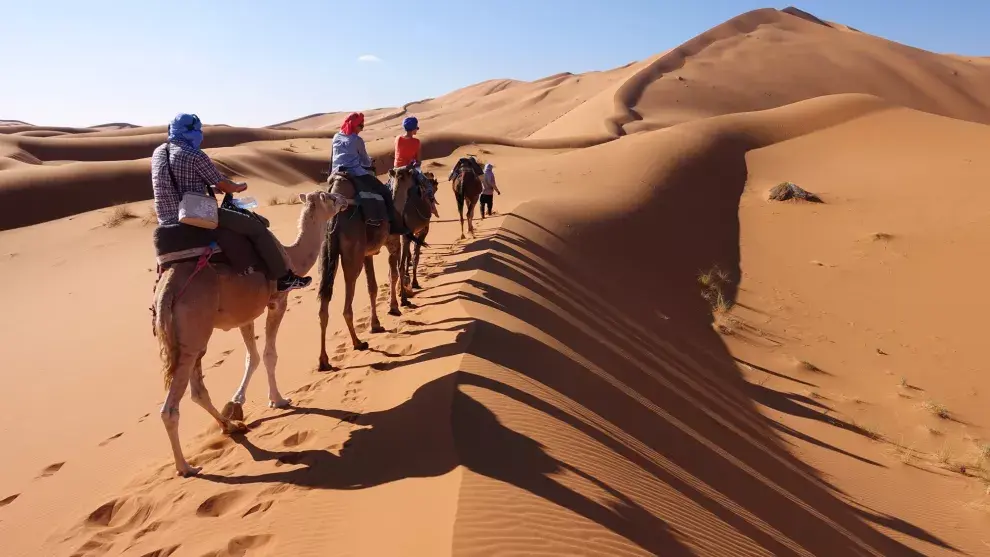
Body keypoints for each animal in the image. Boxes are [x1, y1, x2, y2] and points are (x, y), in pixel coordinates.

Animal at [151, 190, 344, 474]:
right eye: (328, 197)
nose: (344, 199)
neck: (291, 257)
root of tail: (167, 290)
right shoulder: (277, 301)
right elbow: (269, 354)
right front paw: (278, 400)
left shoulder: (245, 315)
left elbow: (251, 357)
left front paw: (237, 402)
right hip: (194, 329)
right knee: (171, 408)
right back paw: (186, 467)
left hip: (187, 336)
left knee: (197, 391)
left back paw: (230, 425)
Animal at [318, 162, 418, 370]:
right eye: (411, 173)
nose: (418, 182)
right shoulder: (392, 242)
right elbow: (393, 274)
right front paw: (395, 307)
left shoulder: (367, 254)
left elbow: (372, 287)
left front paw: (376, 324)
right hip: (352, 253)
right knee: (347, 302)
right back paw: (358, 343)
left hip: (326, 253)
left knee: (324, 302)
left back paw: (324, 360)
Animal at [386, 169, 440, 312]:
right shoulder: (422, 230)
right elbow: (415, 256)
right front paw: (414, 283)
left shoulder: (405, 235)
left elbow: (408, 257)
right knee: (400, 264)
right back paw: (402, 298)